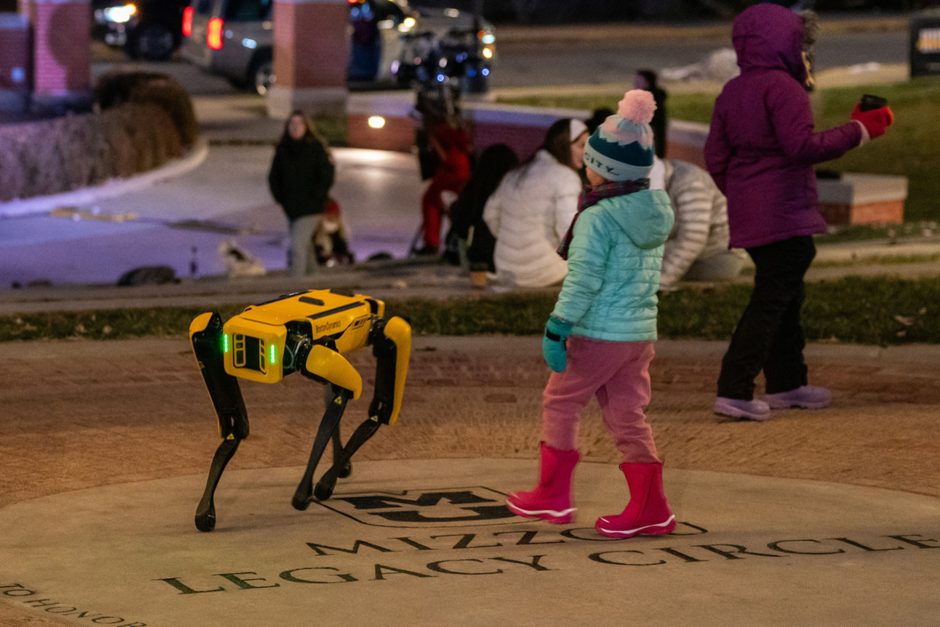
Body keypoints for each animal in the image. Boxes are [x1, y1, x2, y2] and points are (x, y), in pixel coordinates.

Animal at [188, 288, 412, 528]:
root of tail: (366, 299)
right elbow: (236, 427)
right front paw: (205, 509)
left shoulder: (316, 355)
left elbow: (350, 392)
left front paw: (311, 490)